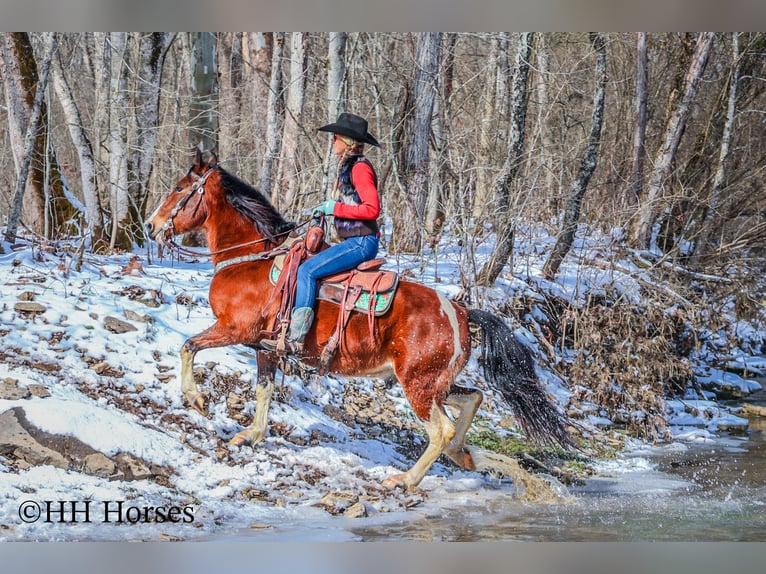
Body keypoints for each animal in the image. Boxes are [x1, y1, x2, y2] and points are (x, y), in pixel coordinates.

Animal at [145, 150, 575, 490]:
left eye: (180, 189)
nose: (151, 226)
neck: (252, 259)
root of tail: (460, 310)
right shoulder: (264, 346)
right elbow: (263, 390)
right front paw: (251, 435)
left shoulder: (235, 330)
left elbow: (188, 346)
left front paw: (195, 397)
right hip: (433, 382)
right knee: (473, 399)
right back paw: (460, 455)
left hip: (418, 385)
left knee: (442, 429)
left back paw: (406, 478)